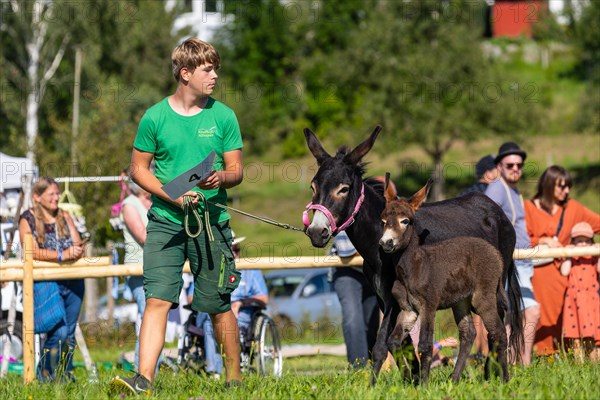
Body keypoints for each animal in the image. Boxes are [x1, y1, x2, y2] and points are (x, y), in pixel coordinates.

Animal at [382, 179, 508, 384]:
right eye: (383, 221)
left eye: (405, 221)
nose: (386, 243)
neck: (412, 266)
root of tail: (496, 253)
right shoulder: (408, 310)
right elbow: (392, 342)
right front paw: (410, 378)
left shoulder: (428, 306)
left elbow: (424, 345)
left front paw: (423, 384)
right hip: (461, 301)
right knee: (468, 333)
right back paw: (454, 379)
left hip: (483, 297)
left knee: (499, 333)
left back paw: (505, 379)